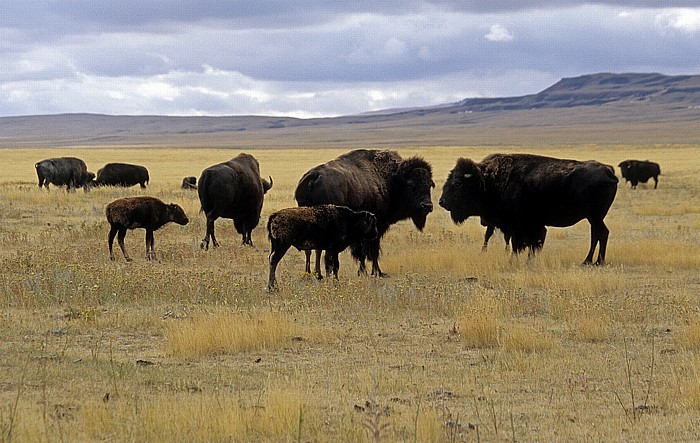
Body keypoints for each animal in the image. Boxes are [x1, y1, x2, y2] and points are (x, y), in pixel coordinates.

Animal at [294, 149, 434, 278]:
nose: (427, 206)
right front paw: (374, 272)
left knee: (311, 249)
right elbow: (370, 250)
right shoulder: (376, 227)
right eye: (411, 184)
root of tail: (313, 177)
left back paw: (313, 274)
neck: (392, 179)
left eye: (429, 185)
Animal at [440, 154, 616, 266]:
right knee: (598, 234)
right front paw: (527, 260)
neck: (487, 180)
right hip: (594, 218)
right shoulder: (528, 226)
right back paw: (591, 261)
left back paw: (595, 262)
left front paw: (515, 261)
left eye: (457, 183)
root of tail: (608, 171)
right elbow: (530, 244)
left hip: (594, 216)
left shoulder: (521, 226)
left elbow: (520, 244)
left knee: (601, 233)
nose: (442, 202)